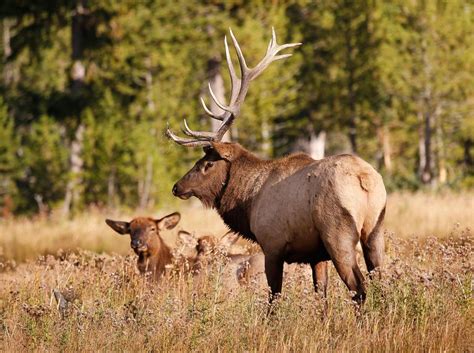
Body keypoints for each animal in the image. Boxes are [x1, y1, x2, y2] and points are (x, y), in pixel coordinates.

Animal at [166, 28, 386, 302]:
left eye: (206, 164)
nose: (177, 186)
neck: (248, 201)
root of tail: (364, 180)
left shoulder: (272, 245)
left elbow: (274, 297)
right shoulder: (317, 256)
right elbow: (321, 296)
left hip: (339, 234)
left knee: (360, 289)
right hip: (376, 230)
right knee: (381, 282)